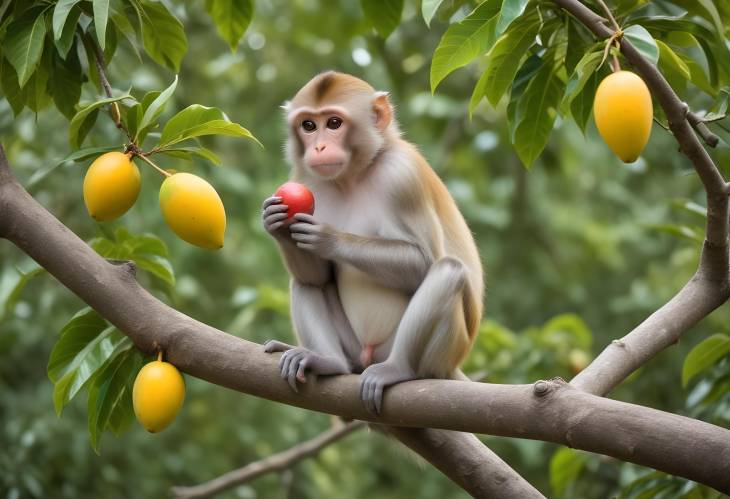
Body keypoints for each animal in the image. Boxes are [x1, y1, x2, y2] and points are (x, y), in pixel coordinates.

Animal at [264, 70, 484, 414]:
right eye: (308, 125)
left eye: (334, 123)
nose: (320, 147)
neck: (353, 176)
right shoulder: (307, 179)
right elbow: (317, 276)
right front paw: (277, 225)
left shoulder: (403, 176)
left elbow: (424, 261)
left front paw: (328, 238)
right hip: (354, 348)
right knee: (306, 284)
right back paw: (328, 361)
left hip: (441, 353)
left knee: (448, 271)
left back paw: (399, 369)